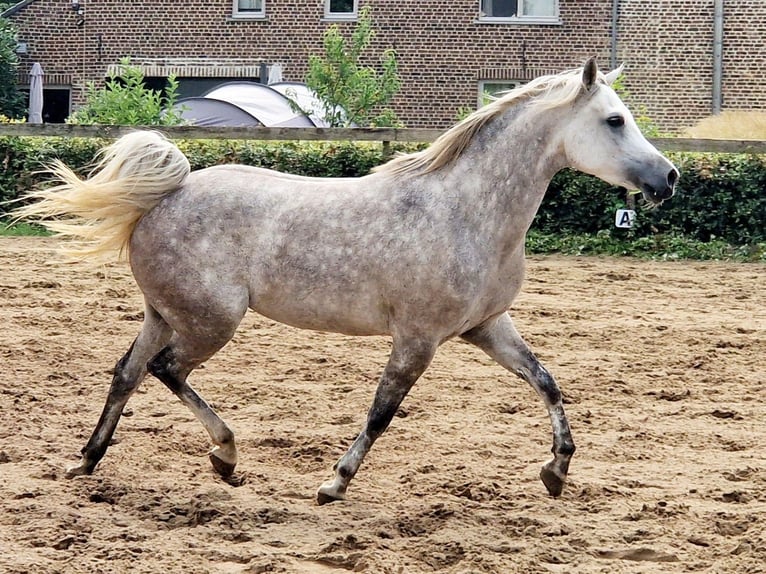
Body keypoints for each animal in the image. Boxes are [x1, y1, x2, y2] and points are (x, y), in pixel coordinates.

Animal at [16, 59, 680, 504]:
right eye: (615, 120)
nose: (669, 177)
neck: (468, 212)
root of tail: (167, 192)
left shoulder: (487, 328)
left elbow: (547, 383)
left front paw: (556, 472)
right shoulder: (418, 339)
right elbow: (383, 412)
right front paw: (333, 483)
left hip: (165, 313)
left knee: (126, 372)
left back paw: (87, 462)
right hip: (211, 322)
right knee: (165, 371)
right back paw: (225, 457)